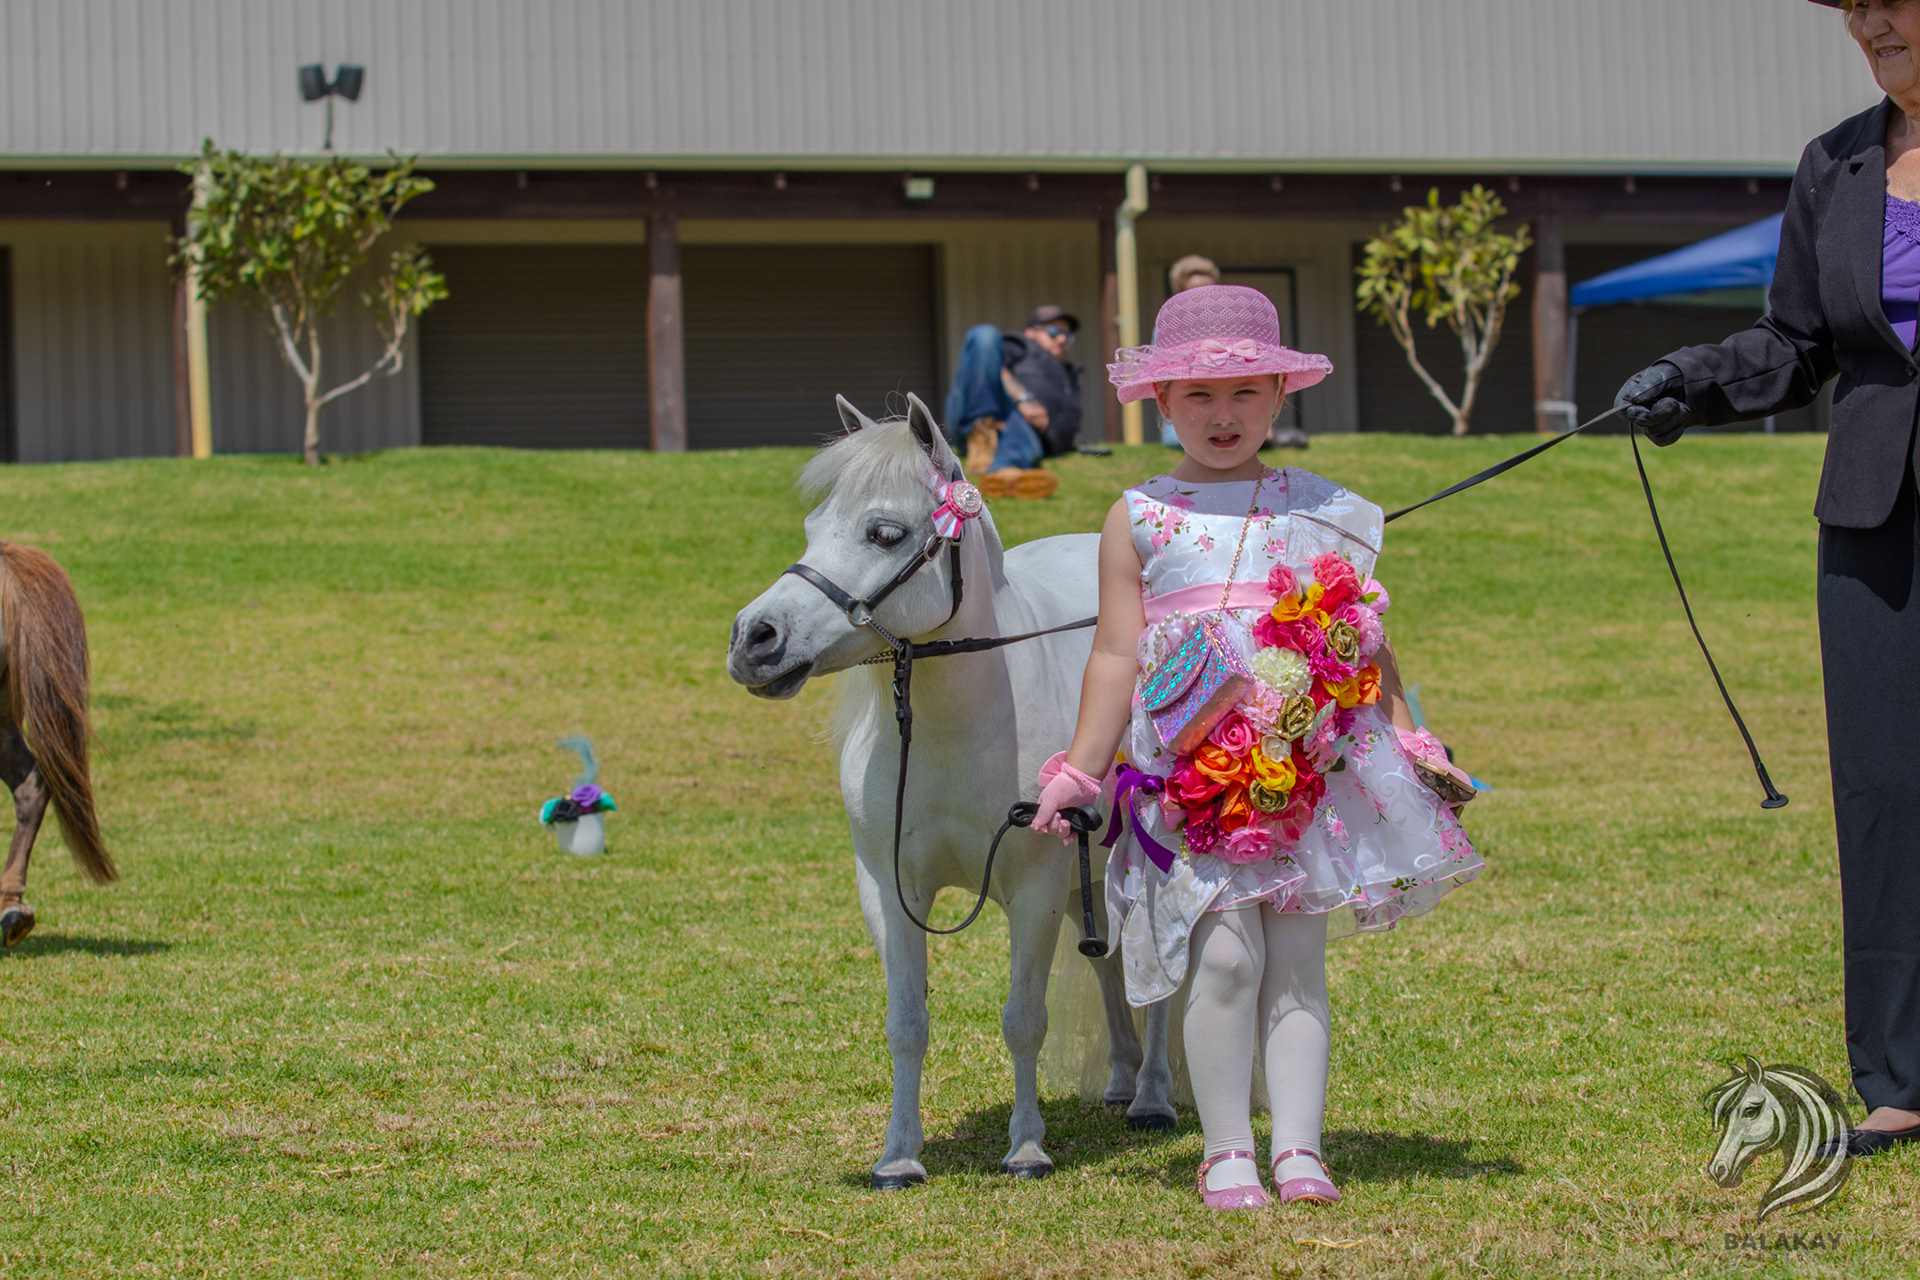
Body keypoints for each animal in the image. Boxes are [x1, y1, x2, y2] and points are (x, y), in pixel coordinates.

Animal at [726, 394, 1174, 1188]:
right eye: (814, 526)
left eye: (884, 532)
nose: (755, 638)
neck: (952, 731)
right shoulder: (888, 889)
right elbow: (906, 1025)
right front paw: (898, 1156)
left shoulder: (1032, 889)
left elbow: (1023, 1020)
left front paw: (1026, 1148)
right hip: (1088, 875)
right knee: (1111, 964)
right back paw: (1122, 1081)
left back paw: (1152, 1096)